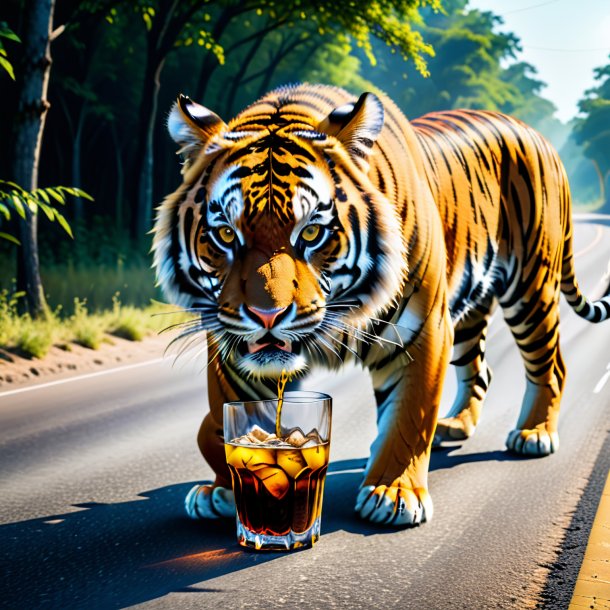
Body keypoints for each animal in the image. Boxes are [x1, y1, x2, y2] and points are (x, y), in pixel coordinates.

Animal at [152, 83, 608, 524]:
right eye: (226, 235)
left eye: (312, 232)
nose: (267, 316)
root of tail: (536, 134)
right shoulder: (230, 348)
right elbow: (222, 418)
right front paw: (226, 487)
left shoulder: (423, 329)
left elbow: (409, 418)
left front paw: (394, 493)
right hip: (471, 309)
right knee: (480, 369)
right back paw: (456, 425)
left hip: (531, 287)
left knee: (552, 366)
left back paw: (535, 434)